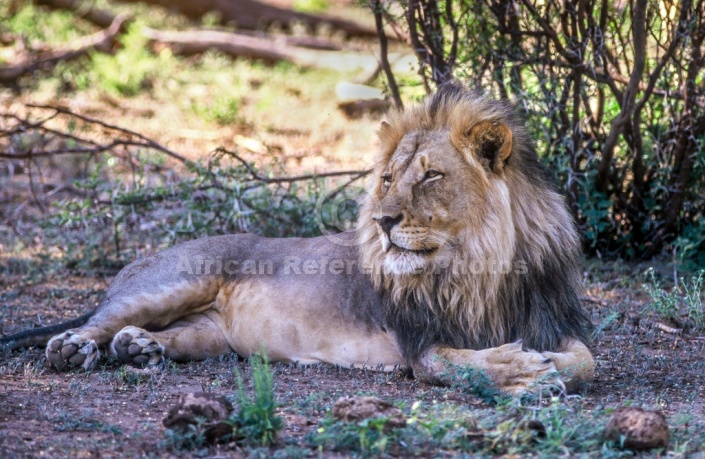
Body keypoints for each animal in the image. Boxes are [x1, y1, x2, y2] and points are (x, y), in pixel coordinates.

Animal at [0, 82, 592, 396]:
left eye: (430, 177)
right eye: (386, 179)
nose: (383, 221)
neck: (478, 268)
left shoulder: (549, 319)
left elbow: (587, 360)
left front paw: (546, 367)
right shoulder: (418, 343)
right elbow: (456, 364)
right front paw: (523, 371)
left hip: (212, 335)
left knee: (157, 335)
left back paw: (140, 347)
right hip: (174, 281)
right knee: (99, 320)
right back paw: (74, 349)